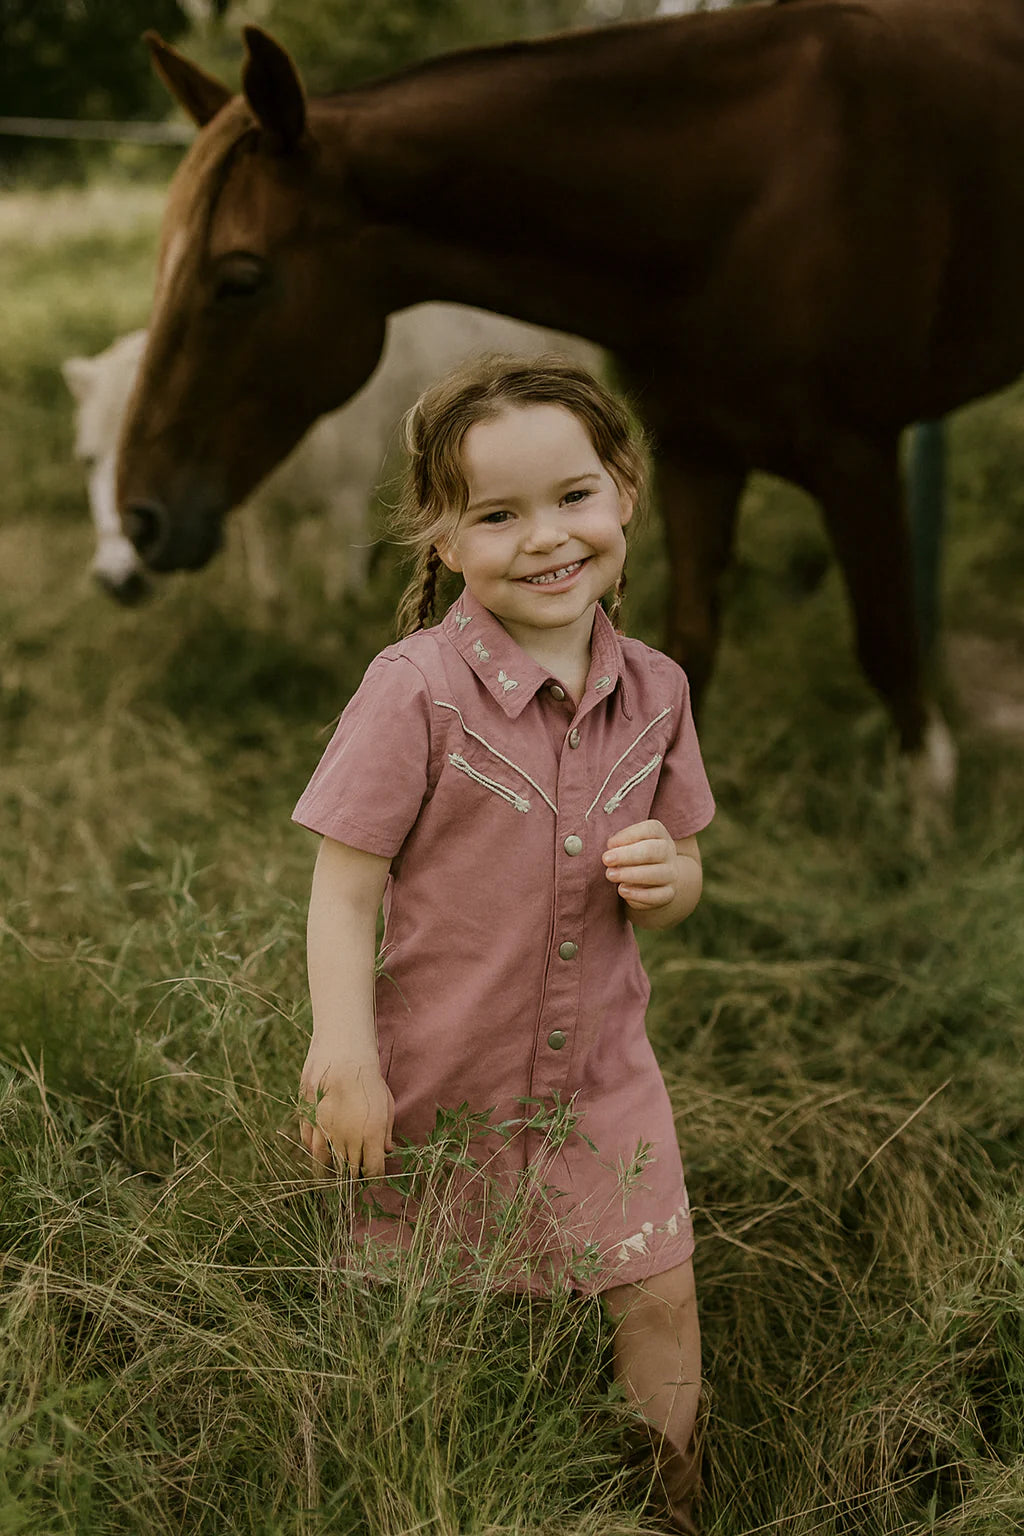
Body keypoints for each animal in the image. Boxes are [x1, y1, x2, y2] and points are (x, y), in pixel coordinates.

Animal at [64, 307, 600, 607]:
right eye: (88, 460)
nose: (118, 581)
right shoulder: (263, 518)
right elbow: (273, 595)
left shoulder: (346, 500)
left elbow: (343, 595)